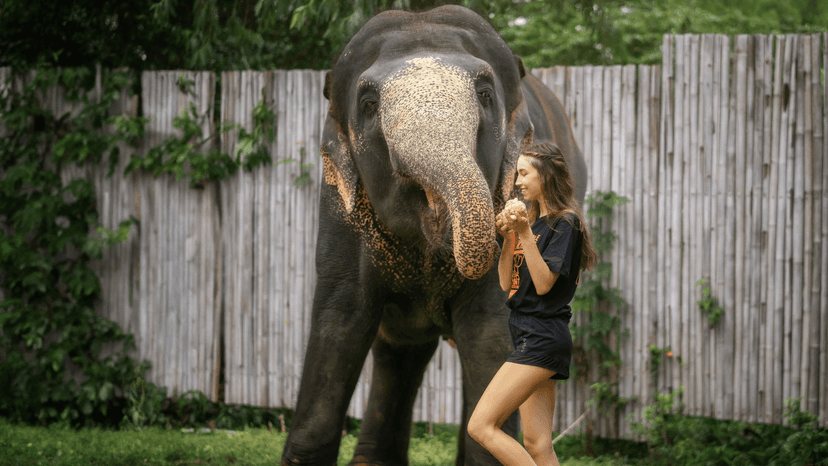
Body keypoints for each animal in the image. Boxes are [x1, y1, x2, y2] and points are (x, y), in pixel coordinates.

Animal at [281, 5, 586, 466]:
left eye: (485, 95)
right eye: (368, 104)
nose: (506, 221)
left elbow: (487, 330)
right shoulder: (339, 210)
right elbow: (341, 319)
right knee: (401, 347)